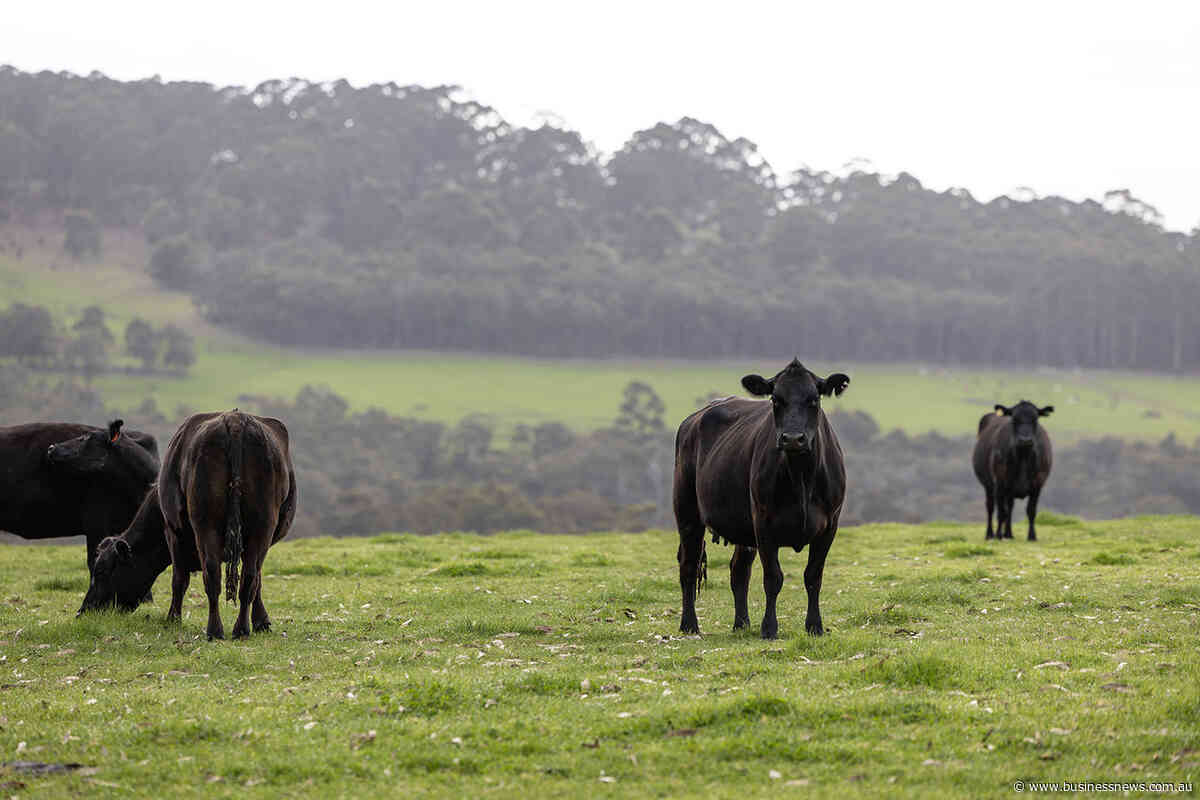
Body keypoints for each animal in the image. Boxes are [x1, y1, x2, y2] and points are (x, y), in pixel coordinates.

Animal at [158, 410, 296, 640]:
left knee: (215, 572)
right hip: (262, 524)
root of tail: (235, 419)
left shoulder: (172, 531)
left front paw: (173, 618)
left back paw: (218, 629)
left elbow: (179, 578)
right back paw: (238, 629)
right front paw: (262, 621)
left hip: (206, 522)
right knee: (247, 575)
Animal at [673, 359, 849, 639]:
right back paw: (689, 625)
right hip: (687, 511)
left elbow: (813, 576)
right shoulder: (764, 522)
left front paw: (815, 626)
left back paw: (741, 623)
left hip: (742, 528)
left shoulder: (830, 524)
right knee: (689, 565)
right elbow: (773, 578)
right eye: (776, 399)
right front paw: (769, 628)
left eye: (813, 399)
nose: (792, 438)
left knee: (738, 571)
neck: (801, 476)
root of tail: (695, 418)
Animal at [973, 401, 1054, 541]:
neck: (1023, 457)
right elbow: (1001, 512)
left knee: (1010, 507)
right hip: (989, 485)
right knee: (991, 507)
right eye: (1014, 419)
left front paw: (1032, 536)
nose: (1025, 440)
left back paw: (1009, 534)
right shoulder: (1000, 483)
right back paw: (990, 534)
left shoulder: (1038, 484)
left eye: (1035, 419)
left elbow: (1031, 510)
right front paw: (998, 535)